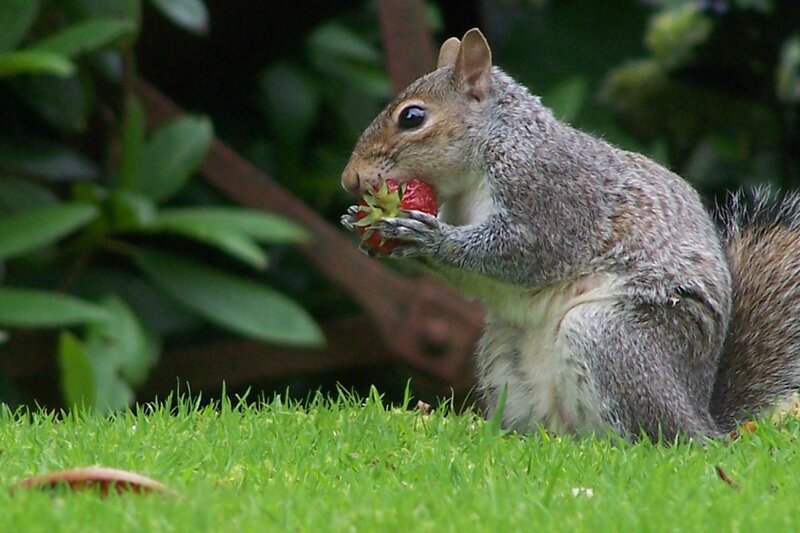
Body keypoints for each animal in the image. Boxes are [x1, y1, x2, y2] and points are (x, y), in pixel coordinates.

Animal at [340, 28, 800, 441]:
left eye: (412, 117)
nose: (350, 179)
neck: (486, 156)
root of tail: (702, 419)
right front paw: (360, 223)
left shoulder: (553, 196)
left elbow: (518, 253)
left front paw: (425, 237)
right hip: (503, 350)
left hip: (611, 337)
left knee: (656, 436)